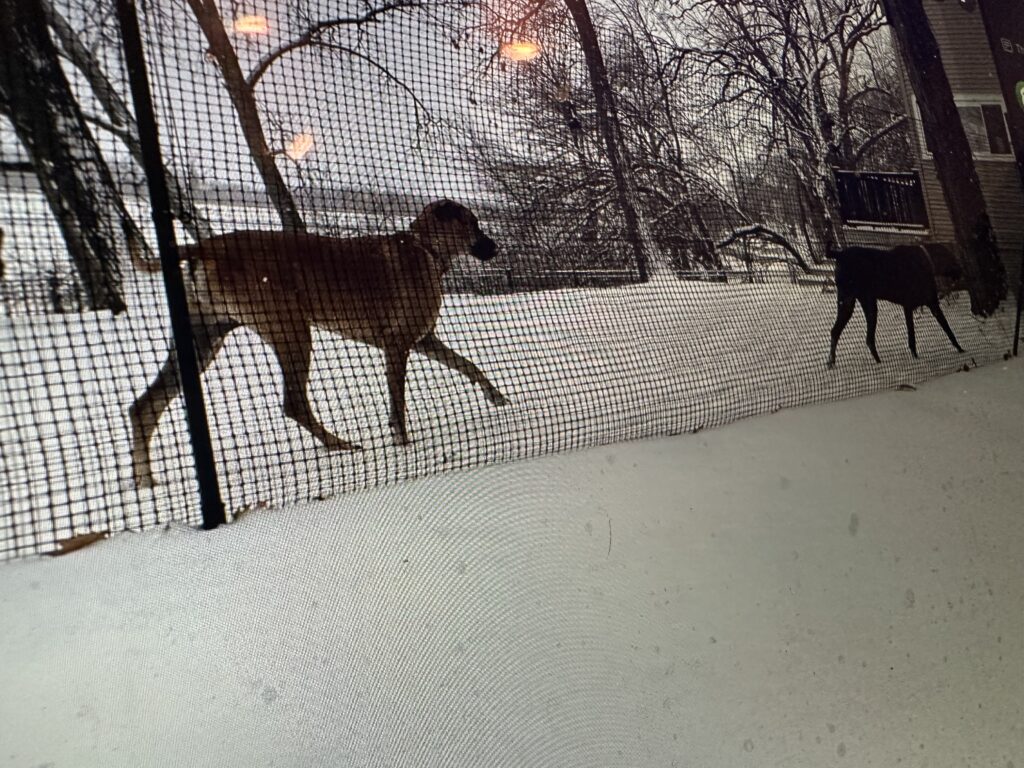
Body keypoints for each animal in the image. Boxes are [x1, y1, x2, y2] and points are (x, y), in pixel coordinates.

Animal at [130, 198, 509, 487]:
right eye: (473, 224)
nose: (495, 247)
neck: (425, 248)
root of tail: (205, 245)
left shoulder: (423, 340)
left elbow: (467, 364)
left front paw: (496, 396)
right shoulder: (398, 344)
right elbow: (398, 403)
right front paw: (404, 445)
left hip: (203, 338)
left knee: (144, 406)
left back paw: (145, 482)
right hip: (291, 329)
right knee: (295, 403)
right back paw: (339, 445)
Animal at [827, 243, 962, 370]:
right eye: (952, 256)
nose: (960, 270)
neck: (927, 260)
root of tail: (839, 254)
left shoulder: (912, 307)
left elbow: (913, 337)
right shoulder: (928, 304)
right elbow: (946, 330)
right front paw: (961, 350)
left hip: (848, 303)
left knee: (836, 332)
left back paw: (831, 363)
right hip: (868, 304)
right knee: (868, 338)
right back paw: (879, 364)